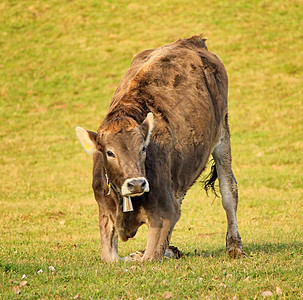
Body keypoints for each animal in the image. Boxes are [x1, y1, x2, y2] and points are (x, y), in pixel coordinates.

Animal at [76, 34, 245, 260]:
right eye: (110, 152)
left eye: (143, 149)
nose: (136, 184)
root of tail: (190, 40)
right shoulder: (105, 212)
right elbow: (112, 258)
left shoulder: (164, 213)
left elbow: (148, 257)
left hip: (222, 133)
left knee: (229, 191)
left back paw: (234, 246)